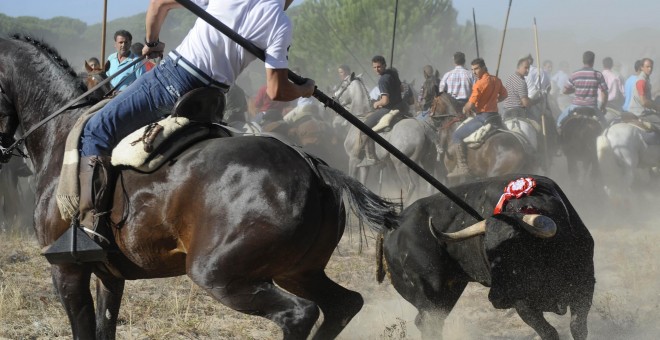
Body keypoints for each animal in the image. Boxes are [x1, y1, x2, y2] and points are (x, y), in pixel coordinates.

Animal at [0, 34, 398, 340]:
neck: (60, 132)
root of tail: (312, 168)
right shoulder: (109, 277)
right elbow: (104, 327)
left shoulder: (68, 272)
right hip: (298, 270)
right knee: (343, 305)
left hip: (220, 274)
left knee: (299, 314)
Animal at [378, 174, 596, 340]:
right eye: (486, 250)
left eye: (516, 246)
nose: (495, 297)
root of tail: (391, 227)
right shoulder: (522, 303)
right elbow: (549, 332)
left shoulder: (584, 286)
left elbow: (578, 328)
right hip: (429, 294)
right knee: (428, 324)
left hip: (448, 294)